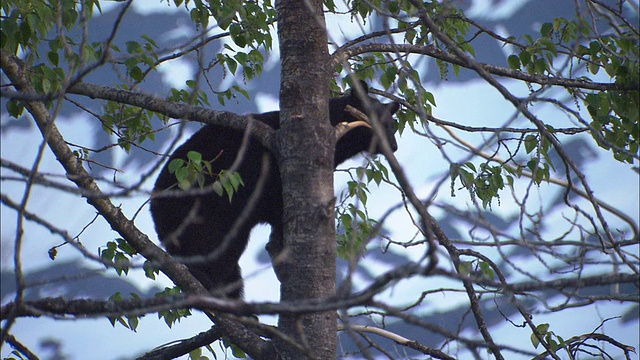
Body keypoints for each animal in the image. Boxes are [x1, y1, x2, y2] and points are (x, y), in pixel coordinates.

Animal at [151, 82, 400, 298]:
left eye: (393, 124)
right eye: (380, 121)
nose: (394, 145)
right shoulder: (268, 172)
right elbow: (276, 205)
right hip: (198, 213)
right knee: (209, 249)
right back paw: (208, 281)